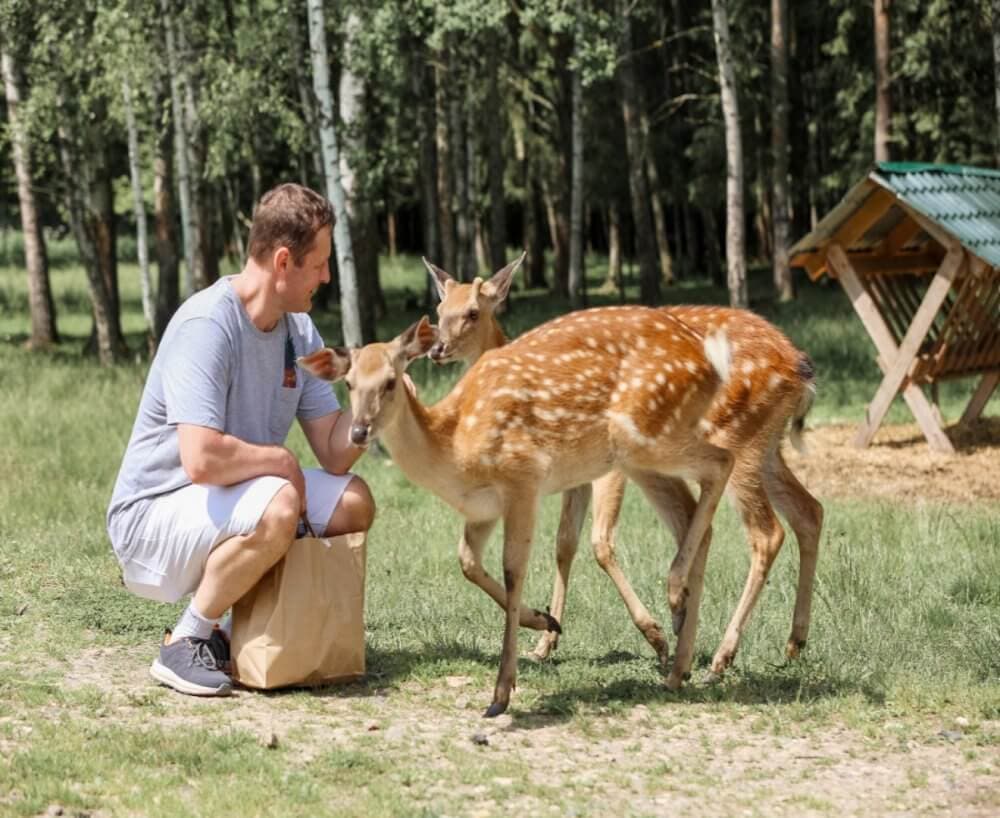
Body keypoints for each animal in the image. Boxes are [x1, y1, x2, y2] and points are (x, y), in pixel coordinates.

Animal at [299, 309, 735, 716]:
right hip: (641, 454)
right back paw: (678, 663)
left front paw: (501, 693)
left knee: (722, 462)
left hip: (644, 433)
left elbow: (513, 569)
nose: (358, 432)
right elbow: (468, 562)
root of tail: (709, 356)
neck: (454, 449)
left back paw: (675, 597)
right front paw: (544, 620)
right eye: (349, 384)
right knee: (694, 517)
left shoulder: (523, 478)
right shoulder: (482, 509)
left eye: (391, 381)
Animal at [424, 253, 824, 682]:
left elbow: (600, 542)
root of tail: (800, 368)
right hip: (765, 445)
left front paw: (656, 636)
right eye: (439, 310)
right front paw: (546, 641)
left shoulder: (610, 466)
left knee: (766, 532)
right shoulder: (571, 475)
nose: (437, 348)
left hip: (736, 438)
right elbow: (565, 543)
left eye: (472, 312)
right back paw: (792, 642)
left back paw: (720, 657)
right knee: (808, 510)